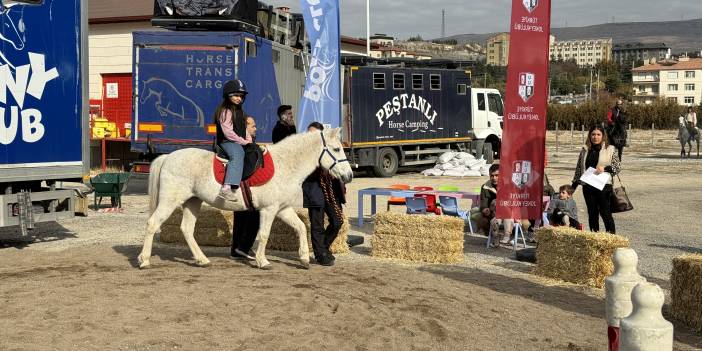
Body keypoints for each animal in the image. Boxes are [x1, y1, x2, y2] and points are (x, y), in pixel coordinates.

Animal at [140, 129, 354, 270]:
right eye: (336, 149)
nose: (349, 175)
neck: (285, 164)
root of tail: (167, 157)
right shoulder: (269, 209)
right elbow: (264, 234)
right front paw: (262, 261)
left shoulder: (282, 209)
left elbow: (301, 227)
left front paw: (303, 258)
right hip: (170, 201)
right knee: (152, 224)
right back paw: (144, 260)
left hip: (192, 202)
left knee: (186, 229)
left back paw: (202, 260)